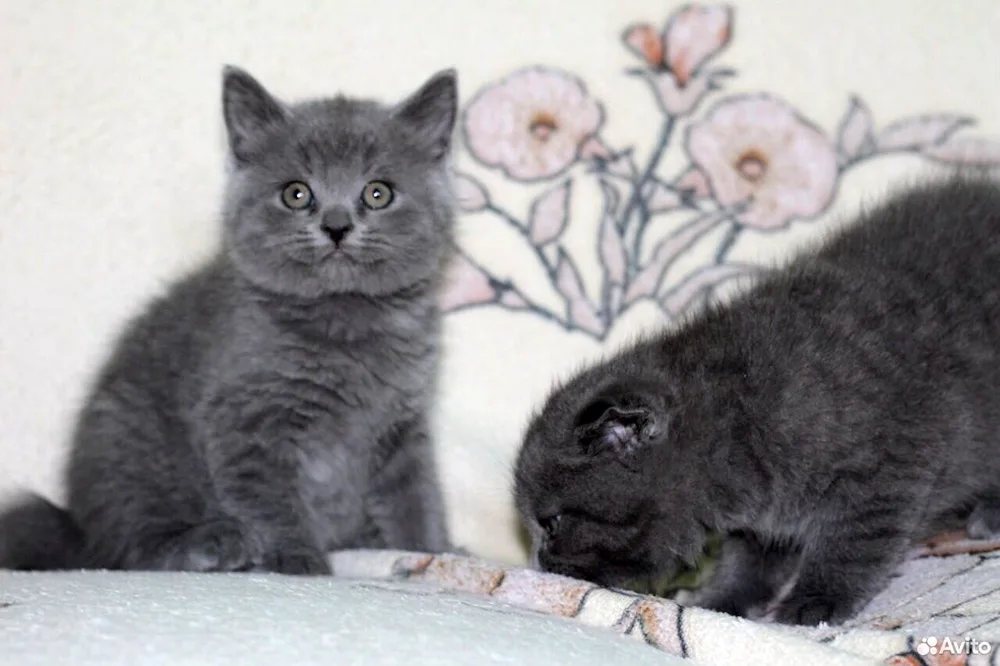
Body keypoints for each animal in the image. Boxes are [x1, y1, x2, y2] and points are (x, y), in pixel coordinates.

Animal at [0, 65, 458, 572]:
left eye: (378, 193)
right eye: (296, 194)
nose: (336, 226)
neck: (346, 324)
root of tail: (75, 522)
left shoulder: (402, 424)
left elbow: (414, 497)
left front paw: (433, 551)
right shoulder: (247, 419)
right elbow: (270, 497)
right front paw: (297, 559)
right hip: (123, 442)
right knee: (125, 548)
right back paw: (213, 543)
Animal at [512, 176, 1000, 624]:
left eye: (552, 523)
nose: (539, 564)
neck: (736, 416)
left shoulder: (893, 466)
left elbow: (853, 543)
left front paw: (814, 601)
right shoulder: (760, 518)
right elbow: (747, 561)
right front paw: (722, 600)